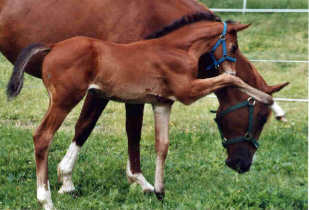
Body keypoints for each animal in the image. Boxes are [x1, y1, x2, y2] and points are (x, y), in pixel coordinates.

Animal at [0, 0, 286, 205]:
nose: (241, 165)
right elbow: (228, 81)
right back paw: (45, 199)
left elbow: (162, 145)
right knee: (42, 136)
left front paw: (159, 190)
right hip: (65, 98)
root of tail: (52, 46)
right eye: (234, 46)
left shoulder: (162, 103)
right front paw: (270, 101)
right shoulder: (186, 92)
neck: (174, 49)